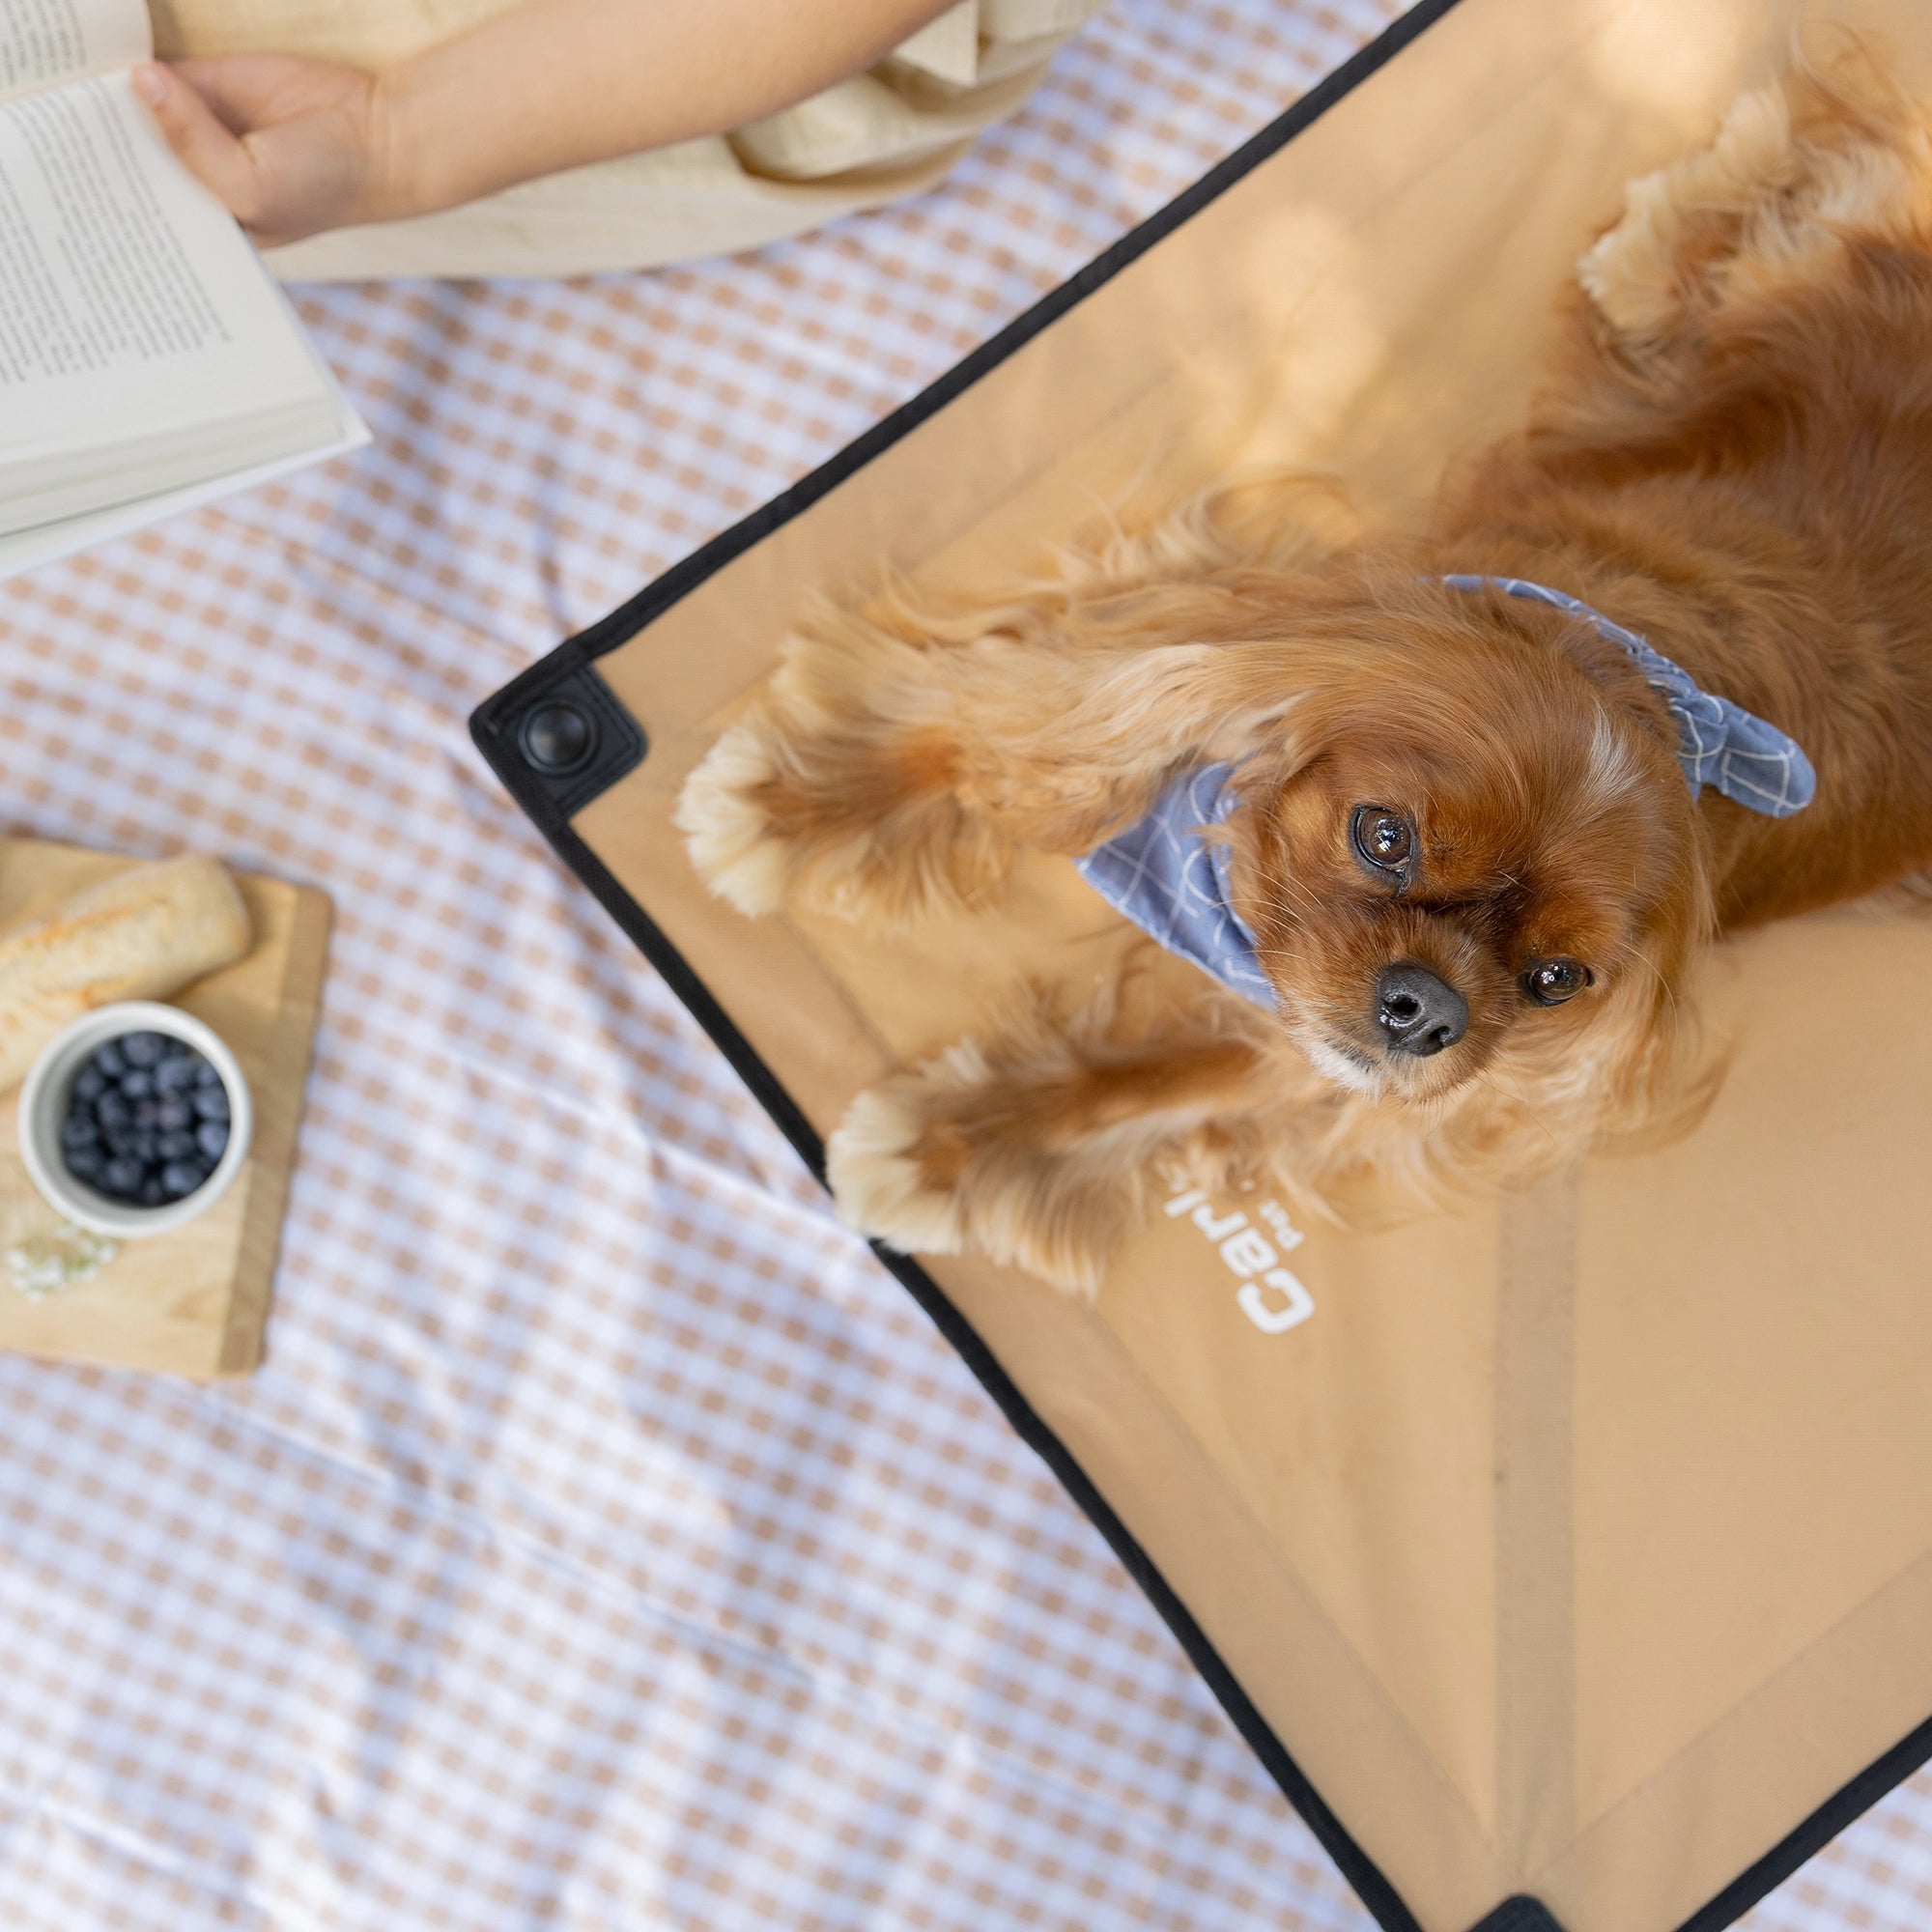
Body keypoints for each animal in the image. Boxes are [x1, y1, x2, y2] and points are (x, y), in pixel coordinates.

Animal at [688, 56, 1932, 1298]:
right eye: (1382, 836)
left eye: (1553, 982)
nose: (1425, 1009)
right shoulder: (1234, 612)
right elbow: (994, 727)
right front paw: (797, 802)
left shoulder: (1317, 1060)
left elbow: (1143, 1083)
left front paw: (957, 1144)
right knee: (1817, 164)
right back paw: (1649, 237)